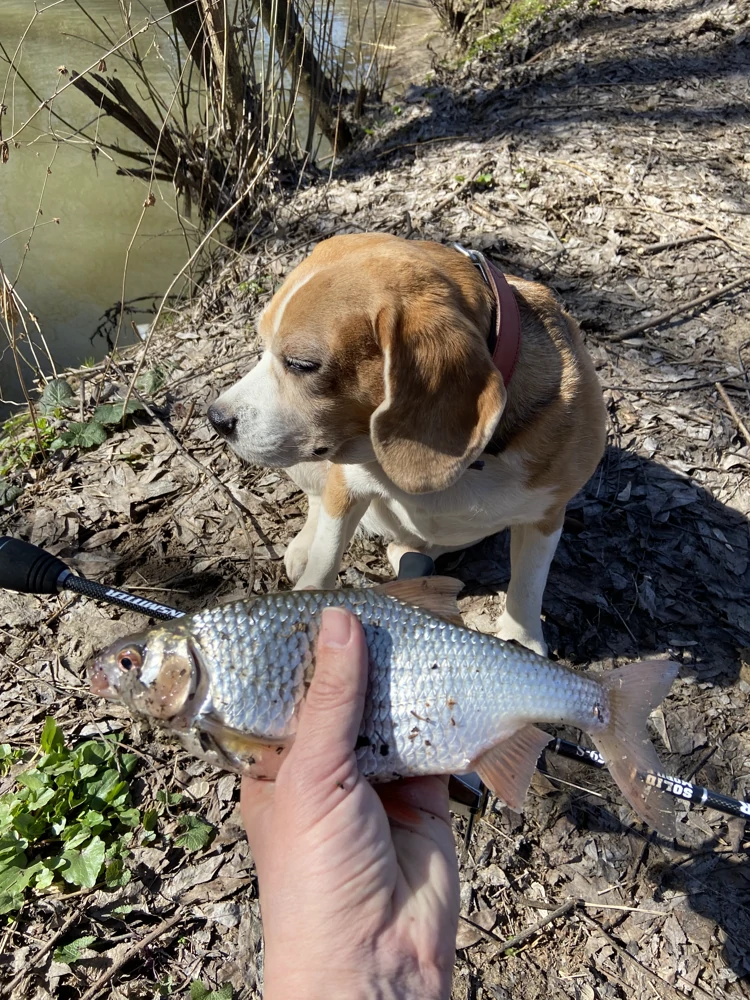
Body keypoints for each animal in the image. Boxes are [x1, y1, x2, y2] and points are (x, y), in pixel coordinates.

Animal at [209, 233, 608, 656]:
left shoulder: (547, 515)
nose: (216, 419)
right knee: (317, 503)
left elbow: (529, 583)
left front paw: (523, 640)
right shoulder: (346, 483)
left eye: (302, 364)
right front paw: (310, 592)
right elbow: (326, 552)